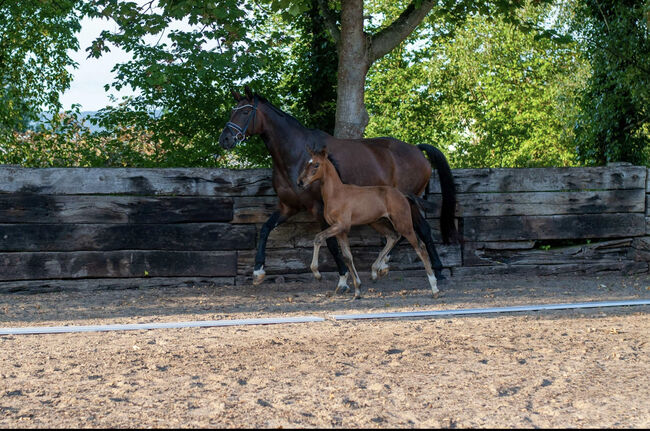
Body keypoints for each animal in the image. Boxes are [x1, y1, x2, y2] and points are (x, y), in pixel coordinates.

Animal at [296, 146, 438, 300]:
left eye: (316, 164)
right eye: (306, 164)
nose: (300, 182)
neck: (336, 194)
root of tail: (402, 194)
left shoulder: (341, 226)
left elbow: (318, 238)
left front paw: (317, 273)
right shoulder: (340, 231)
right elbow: (347, 257)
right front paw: (357, 290)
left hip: (403, 223)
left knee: (420, 247)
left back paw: (434, 288)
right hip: (377, 222)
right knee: (393, 237)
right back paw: (376, 270)